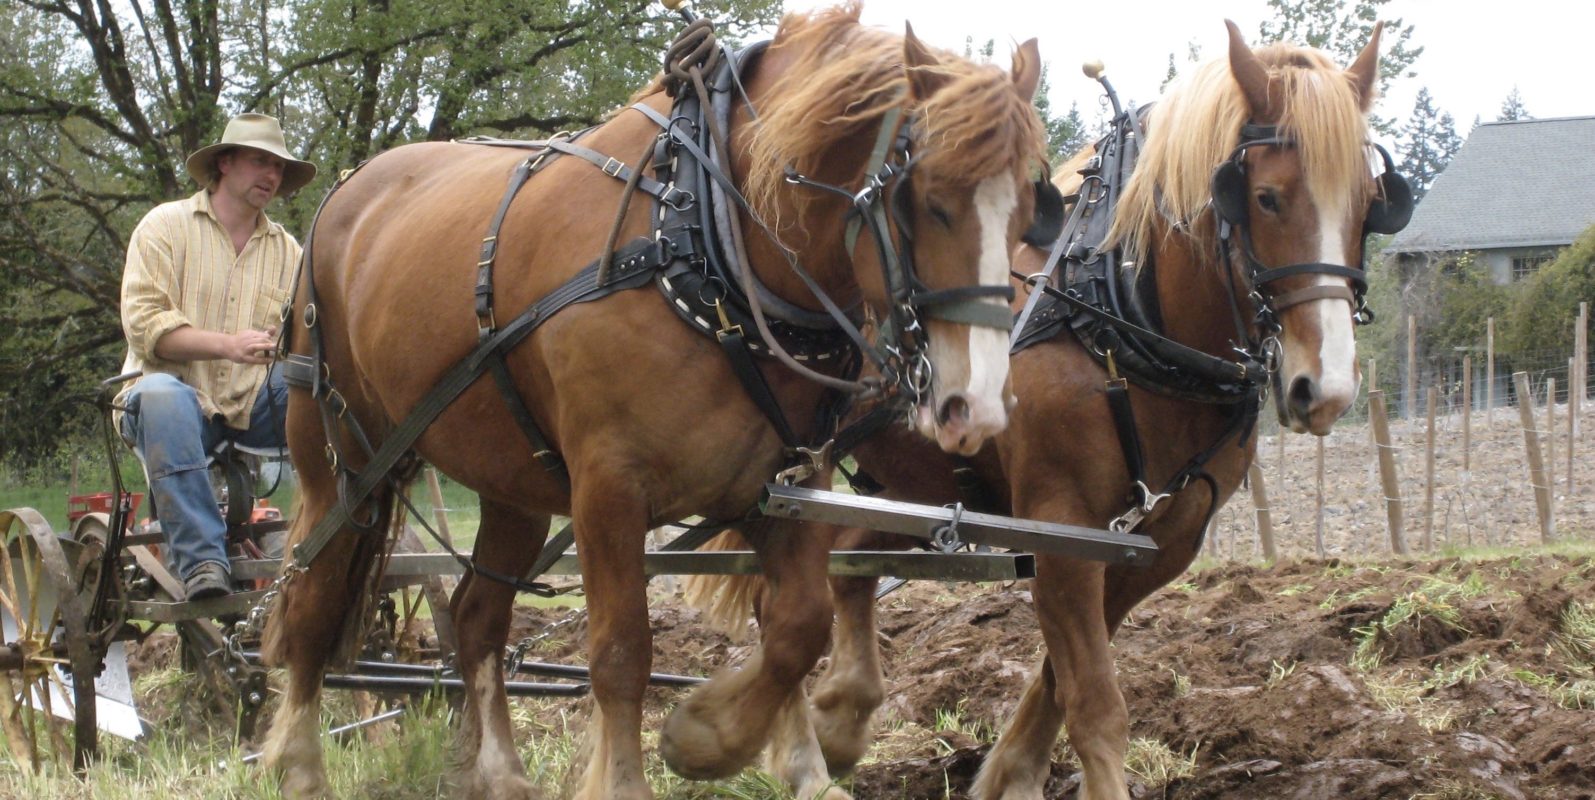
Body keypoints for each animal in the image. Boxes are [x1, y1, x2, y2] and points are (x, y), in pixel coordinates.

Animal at [259, 6, 1052, 800]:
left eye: (1026, 214)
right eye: (931, 203)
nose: (978, 408)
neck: (705, 244)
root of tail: (351, 187)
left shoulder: (794, 482)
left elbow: (798, 625)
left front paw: (729, 744)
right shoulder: (608, 489)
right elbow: (621, 654)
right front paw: (647, 768)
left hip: (511, 480)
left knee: (478, 616)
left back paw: (500, 773)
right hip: (339, 456)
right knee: (311, 598)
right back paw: (298, 763)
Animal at [685, 18, 1397, 800]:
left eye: (1370, 205)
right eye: (1264, 198)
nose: (1325, 389)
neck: (1120, 312)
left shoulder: (1156, 545)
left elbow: (1060, 682)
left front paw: (1007, 775)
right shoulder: (1061, 522)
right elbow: (1095, 704)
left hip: (901, 483)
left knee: (849, 568)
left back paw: (839, 718)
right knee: (778, 596)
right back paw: (803, 758)